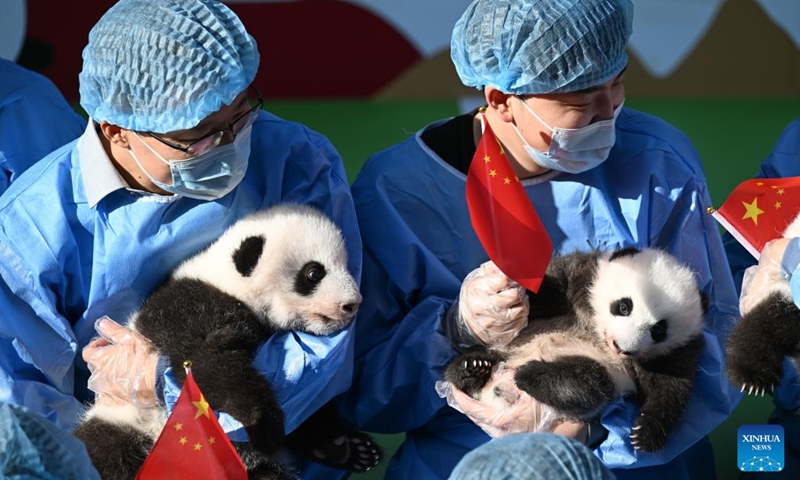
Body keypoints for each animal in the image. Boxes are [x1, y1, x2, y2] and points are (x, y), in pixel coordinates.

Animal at [73, 204, 380, 480]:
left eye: (346, 264)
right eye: (314, 272)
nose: (352, 304)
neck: (230, 283)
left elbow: (307, 400)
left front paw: (346, 446)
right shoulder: (191, 308)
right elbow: (205, 361)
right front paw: (263, 423)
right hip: (125, 423)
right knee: (108, 451)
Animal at [444, 247, 707, 453]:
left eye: (659, 330)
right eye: (624, 306)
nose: (623, 348)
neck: (596, 327)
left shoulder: (675, 352)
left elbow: (670, 386)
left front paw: (644, 432)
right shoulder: (583, 276)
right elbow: (549, 289)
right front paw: (502, 290)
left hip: (597, 370)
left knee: (590, 382)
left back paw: (529, 375)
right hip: (507, 349)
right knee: (464, 366)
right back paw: (473, 368)